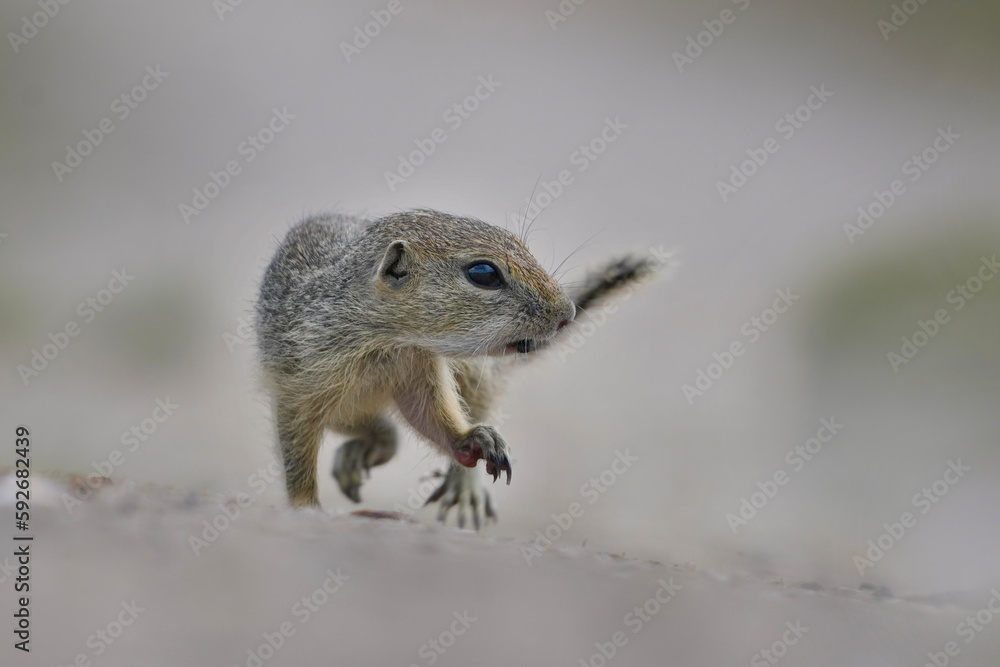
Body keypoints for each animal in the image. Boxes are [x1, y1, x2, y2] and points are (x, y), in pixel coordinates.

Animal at [255, 209, 658, 528]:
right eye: (483, 273)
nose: (567, 314)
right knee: (377, 430)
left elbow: (429, 415)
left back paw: (461, 484)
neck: (388, 340)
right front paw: (305, 507)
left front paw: (474, 442)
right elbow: (297, 452)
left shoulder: (420, 370)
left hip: (472, 373)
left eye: (520, 244)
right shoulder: (298, 386)